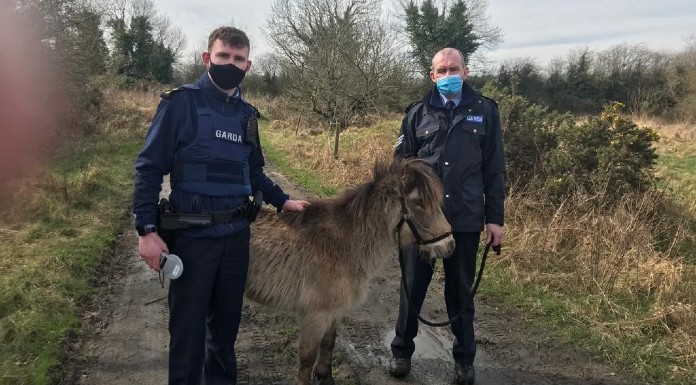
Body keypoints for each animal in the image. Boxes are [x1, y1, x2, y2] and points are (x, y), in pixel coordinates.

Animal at [247, 157, 454, 384]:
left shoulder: (333, 313)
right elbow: (307, 360)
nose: (449, 245)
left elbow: (328, 345)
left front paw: (325, 377)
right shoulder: (315, 316)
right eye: (419, 202)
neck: (342, 243)